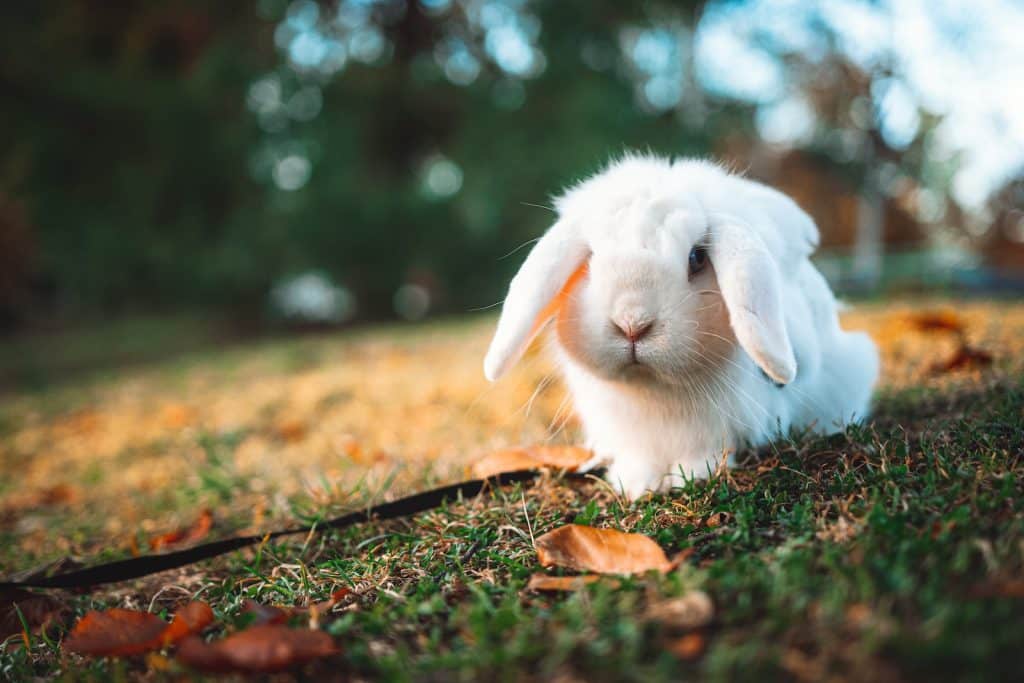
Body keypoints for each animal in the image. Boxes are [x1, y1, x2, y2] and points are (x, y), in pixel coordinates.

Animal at [483, 154, 879, 498]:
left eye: (696, 257)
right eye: (591, 259)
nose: (632, 323)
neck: (653, 393)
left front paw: (691, 476)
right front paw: (636, 484)